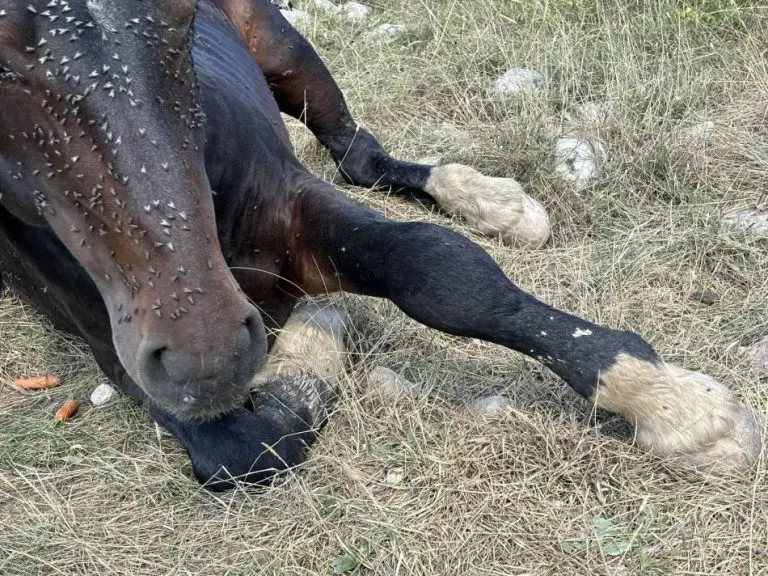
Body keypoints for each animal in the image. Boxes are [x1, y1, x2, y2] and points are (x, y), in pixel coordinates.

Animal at [0, 0, 756, 490]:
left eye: (182, 21)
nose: (206, 348)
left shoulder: (298, 204)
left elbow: (437, 269)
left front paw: (665, 402)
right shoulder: (116, 346)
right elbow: (242, 449)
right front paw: (312, 341)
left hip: (284, 50)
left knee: (357, 153)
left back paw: (497, 203)